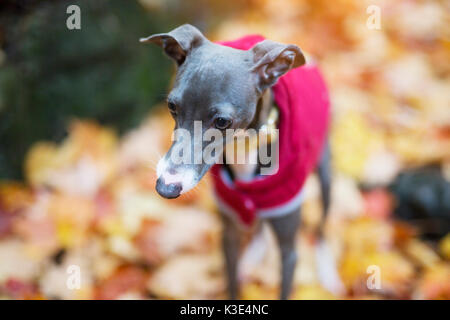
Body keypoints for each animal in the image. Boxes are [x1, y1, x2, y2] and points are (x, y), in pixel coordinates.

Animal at [142, 23, 338, 298]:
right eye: (171, 106)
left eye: (222, 121)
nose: (165, 188)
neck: (244, 151)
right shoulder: (228, 236)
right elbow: (233, 283)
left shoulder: (289, 251)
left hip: (325, 173)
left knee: (321, 225)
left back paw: (327, 270)